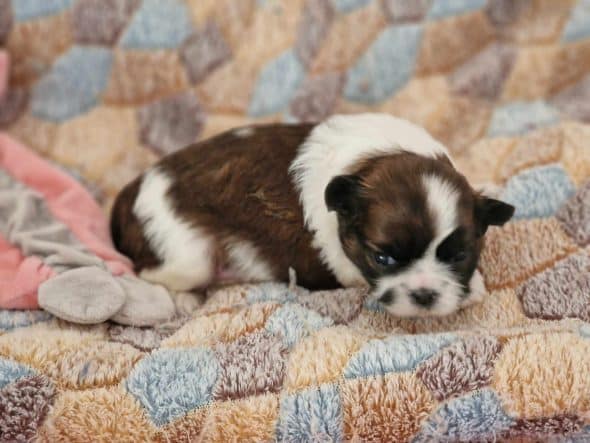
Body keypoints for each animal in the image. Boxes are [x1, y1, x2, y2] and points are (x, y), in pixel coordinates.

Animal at [110, 112, 512, 318]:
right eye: (382, 258)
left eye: (460, 256)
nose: (425, 295)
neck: (372, 161)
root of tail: (132, 189)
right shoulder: (344, 263)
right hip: (188, 255)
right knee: (149, 271)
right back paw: (183, 298)